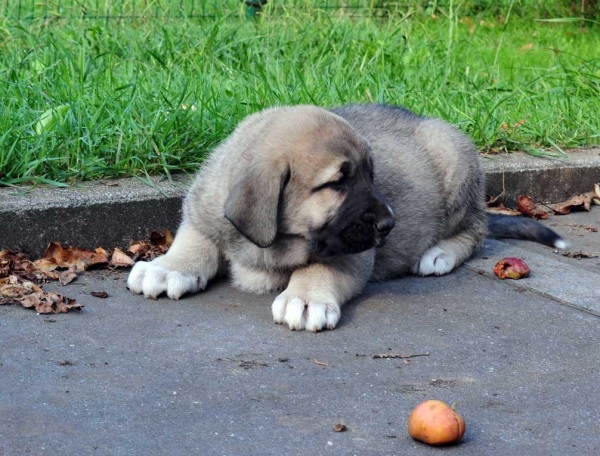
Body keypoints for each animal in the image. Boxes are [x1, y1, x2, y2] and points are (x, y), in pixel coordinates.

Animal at [126, 104, 564, 332]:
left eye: (372, 175)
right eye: (338, 183)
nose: (389, 226)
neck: (273, 243)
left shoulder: (352, 250)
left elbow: (321, 266)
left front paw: (305, 297)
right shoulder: (203, 213)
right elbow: (195, 240)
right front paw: (167, 267)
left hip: (455, 167)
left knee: (476, 229)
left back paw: (437, 254)